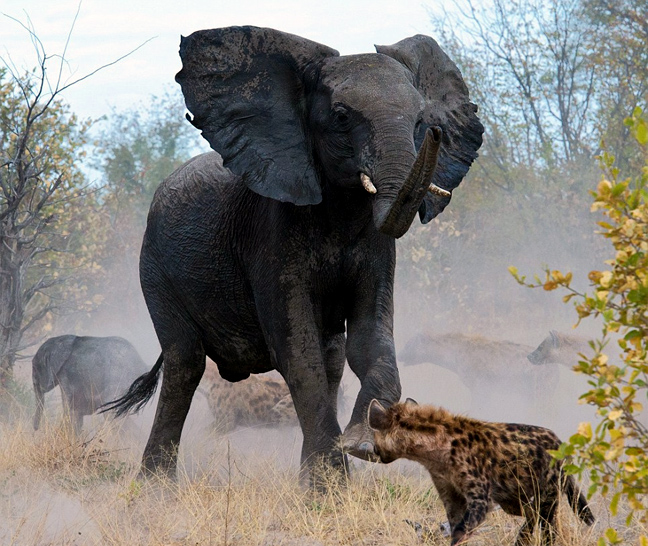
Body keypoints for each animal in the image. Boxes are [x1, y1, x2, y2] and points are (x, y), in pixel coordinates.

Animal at [105, 25, 480, 480]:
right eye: (341, 116)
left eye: (423, 120)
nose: (435, 137)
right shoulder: (270, 234)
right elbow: (297, 351)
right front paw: (332, 479)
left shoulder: (377, 248)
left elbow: (370, 336)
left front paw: (359, 444)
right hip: (155, 268)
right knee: (185, 363)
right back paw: (156, 487)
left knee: (332, 358)